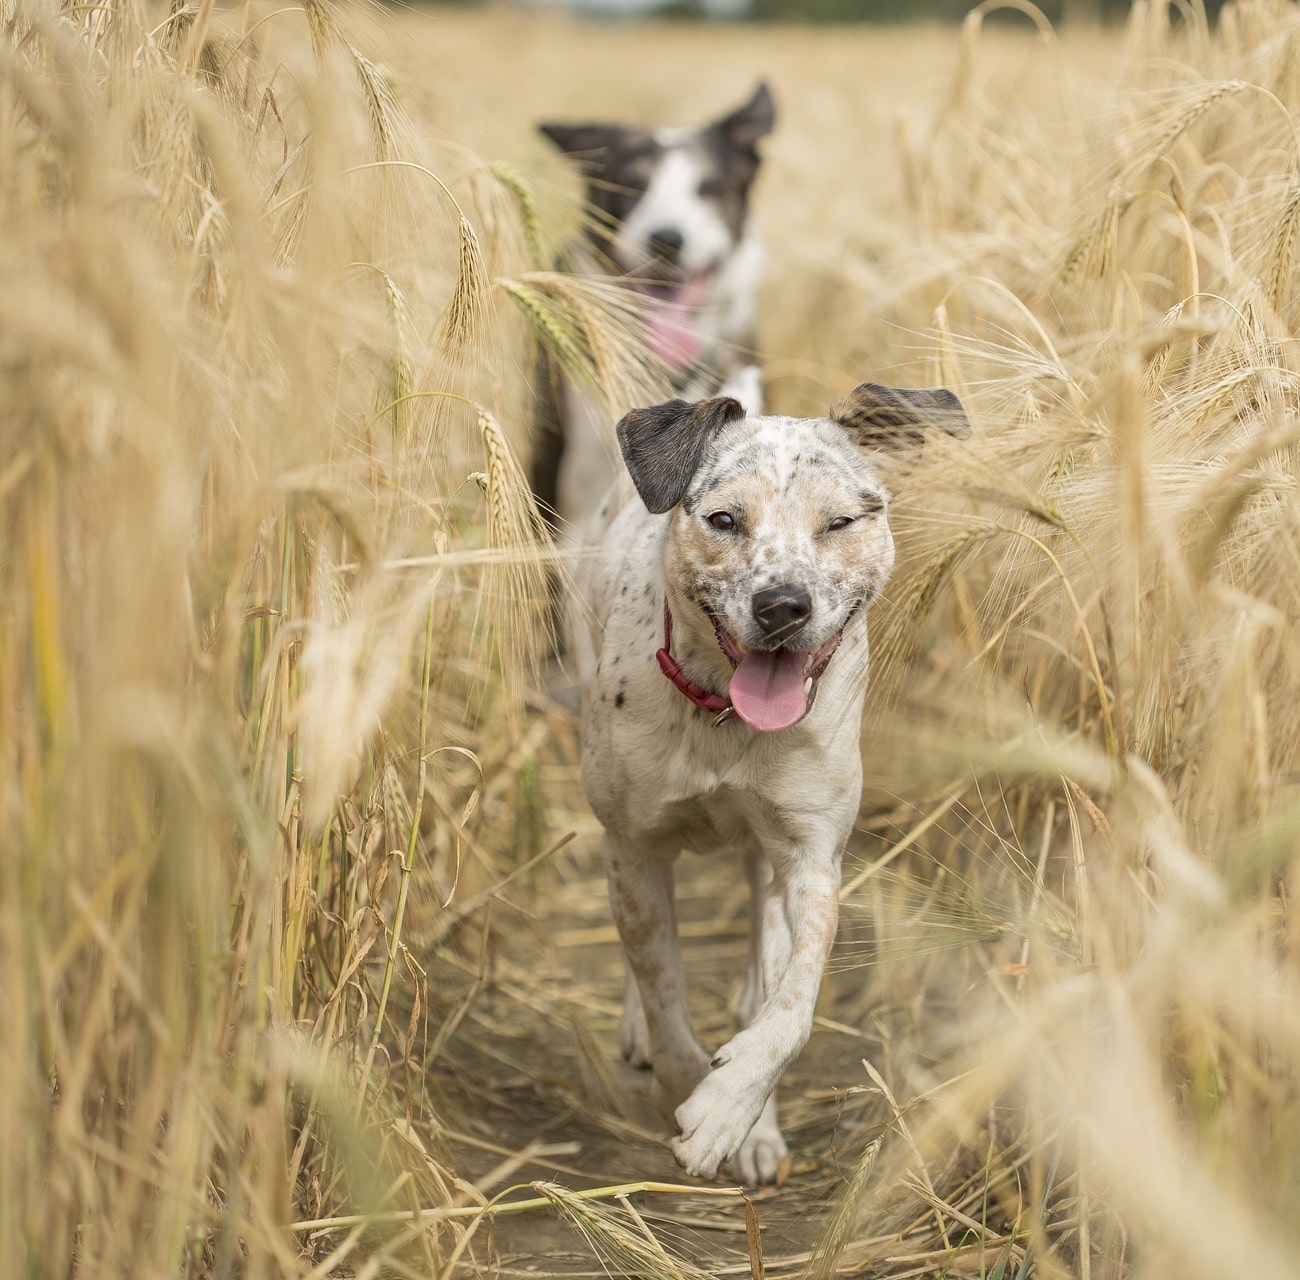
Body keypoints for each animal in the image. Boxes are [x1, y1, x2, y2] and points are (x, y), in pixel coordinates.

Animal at [579, 384, 967, 1185]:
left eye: (840, 522)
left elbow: (793, 1005)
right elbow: (663, 992)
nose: (783, 605)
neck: (724, 718)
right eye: (724, 519)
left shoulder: (810, 858)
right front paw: (690, 1088)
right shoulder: (634, 848)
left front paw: (734, 1110)